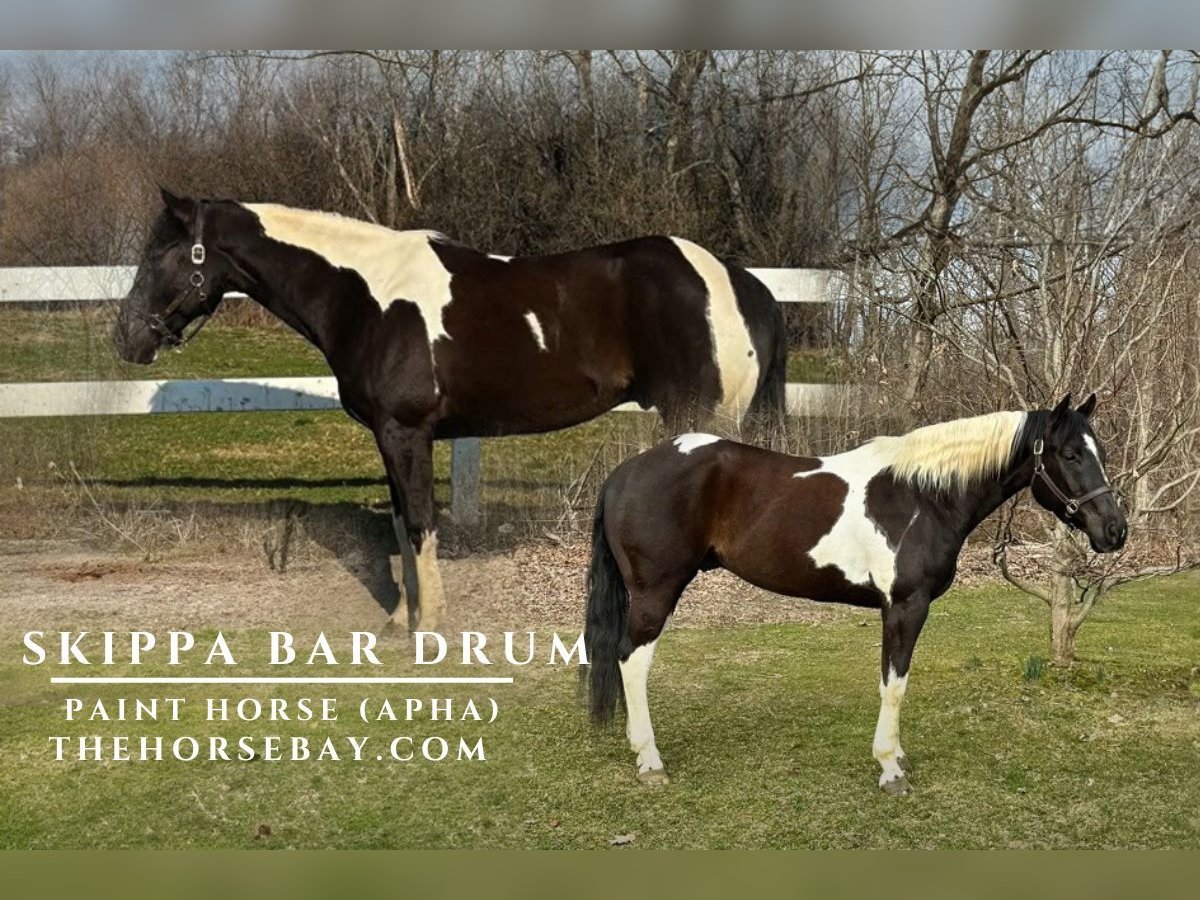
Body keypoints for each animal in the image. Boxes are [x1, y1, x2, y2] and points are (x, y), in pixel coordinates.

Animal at [113, 189, 786, 631]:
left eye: (161, 253)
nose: (126, 338)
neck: (366, 296)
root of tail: (740, 281)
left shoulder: (406, 432)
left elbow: (418, 524)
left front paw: (429, 626)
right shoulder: (390, 438)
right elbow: (398, 525)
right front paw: (398, 622)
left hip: (697, 419)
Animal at [584, 395, 1127, 794]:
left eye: (1099, 451)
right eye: (1071, 454)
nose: (1115, 530)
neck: (923, 496)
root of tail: (625, 472)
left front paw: (897, 755)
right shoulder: (904, 607)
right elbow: (894, 684)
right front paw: (890, 768)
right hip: (655, 592)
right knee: (632, 661)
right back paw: (650, 760)